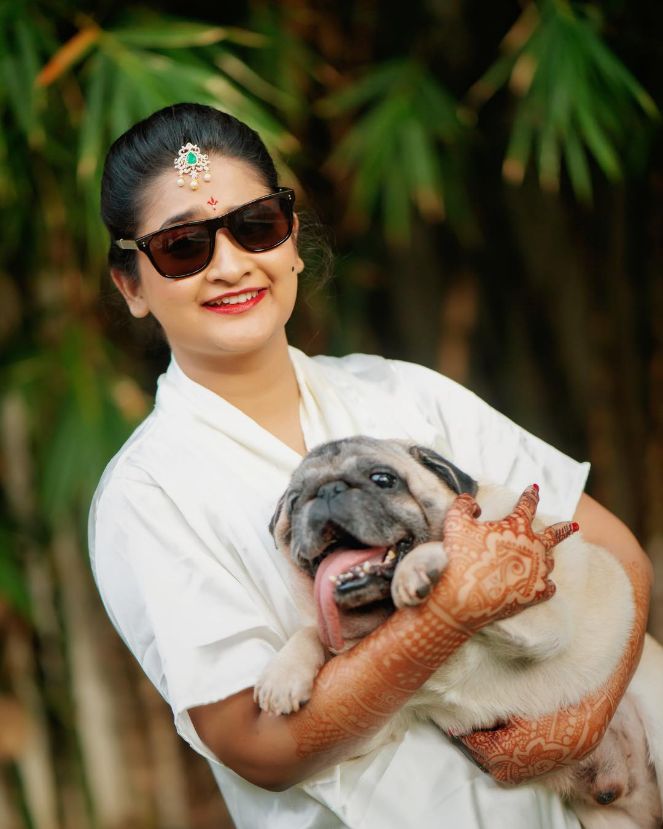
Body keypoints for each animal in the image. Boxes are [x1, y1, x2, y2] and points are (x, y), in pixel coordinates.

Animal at [255, 437, 663, 828]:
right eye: (295, 502)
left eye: (383, 479)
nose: (327, 491)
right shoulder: (376, 724)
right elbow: (312, 635)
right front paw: (283, 675)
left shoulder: (546, 621)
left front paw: (425, 564)